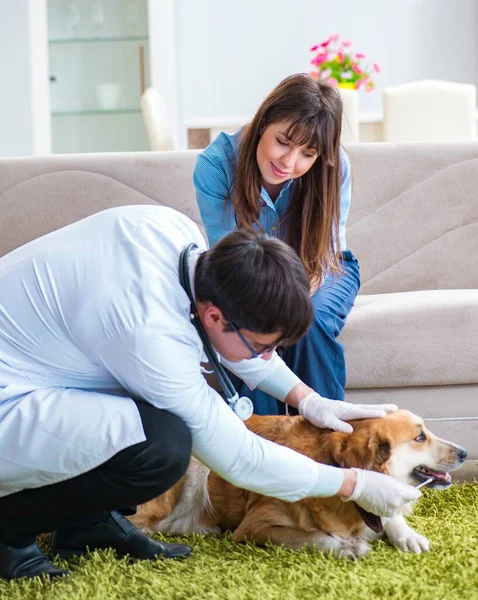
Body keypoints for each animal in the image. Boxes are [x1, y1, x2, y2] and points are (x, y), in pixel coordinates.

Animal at [131, 410, 466, 560]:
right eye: (420, 437)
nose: (464, 452)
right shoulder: (256, 525)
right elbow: (311, 537)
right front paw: (345, 546)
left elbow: (390, 515)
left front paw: (407, 534)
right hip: (196, 466)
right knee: (153, 522)